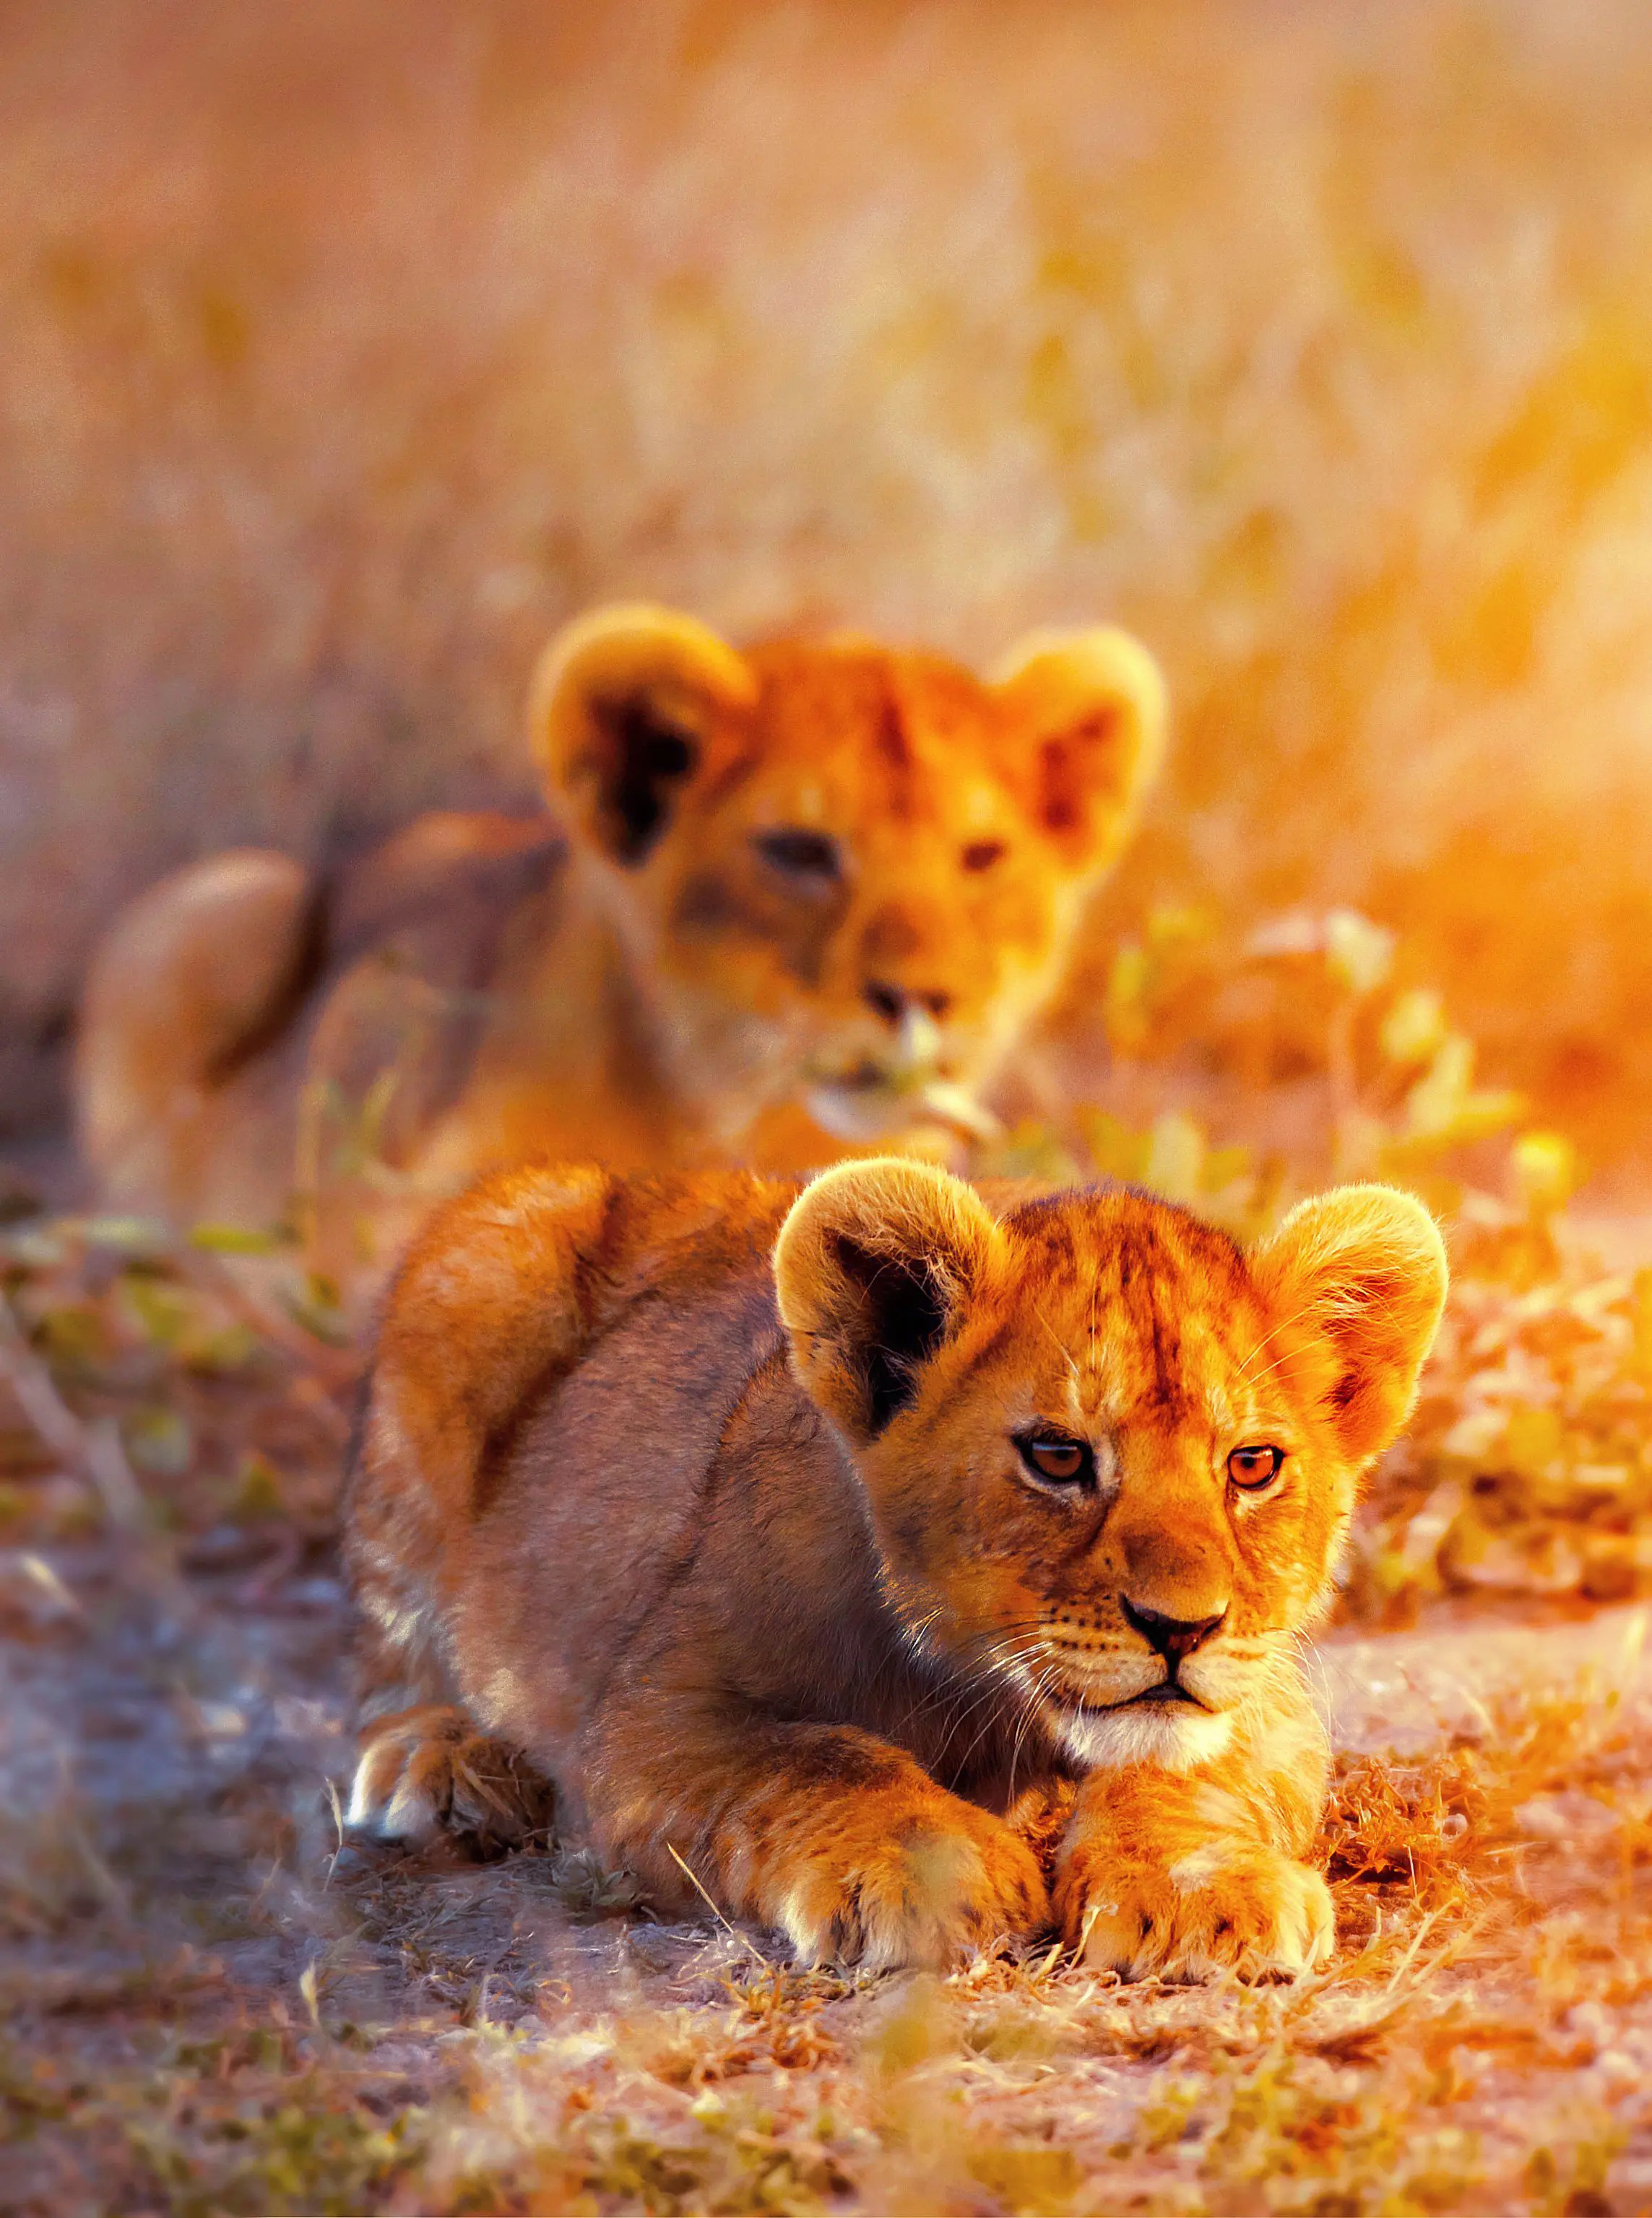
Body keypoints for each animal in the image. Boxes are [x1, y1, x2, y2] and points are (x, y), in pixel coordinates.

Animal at [341, 1156, 1446, 1978]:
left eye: (1250, 1465)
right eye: (1056, 1457)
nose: (1182, 1627)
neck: (984, 1697)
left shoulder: (1264, 1687)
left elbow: (1189, 1770)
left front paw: (1204, 1890)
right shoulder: (650, 1715)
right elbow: (820, 1754)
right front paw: (935, 1869)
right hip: (483, 1261)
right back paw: (439, 1761)